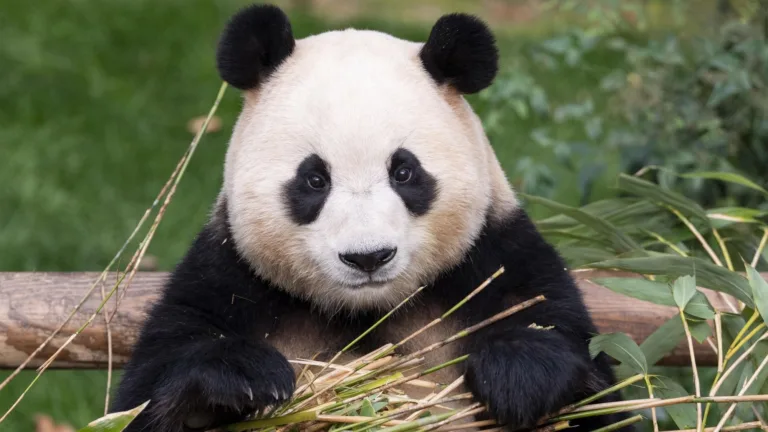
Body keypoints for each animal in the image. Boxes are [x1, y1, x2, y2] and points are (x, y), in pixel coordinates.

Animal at [111, 4, 628, 432]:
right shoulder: (225, 279)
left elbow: (591, 381)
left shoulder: (501, 257)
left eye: (404, 171)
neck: (367, 313)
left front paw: (517, 373)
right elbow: (146, 395)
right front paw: (245, 377)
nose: (368, 257)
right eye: (314, 179)